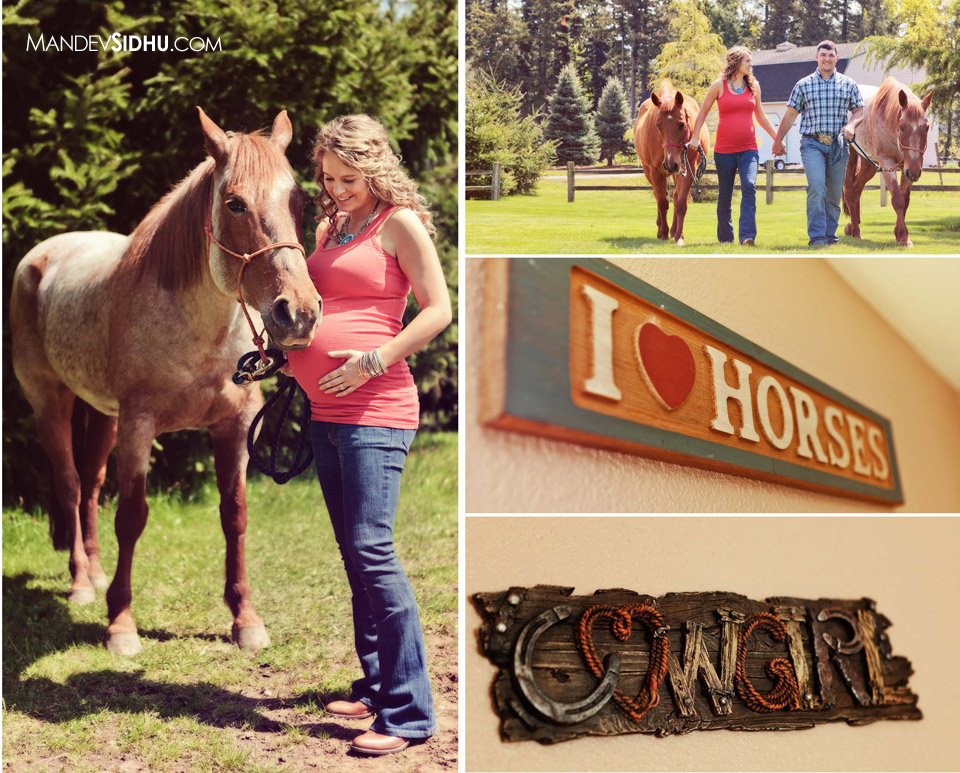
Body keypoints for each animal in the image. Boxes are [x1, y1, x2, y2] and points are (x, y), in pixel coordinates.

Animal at [10, 107, 322, 652]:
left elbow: (235, 514)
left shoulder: (234, 428)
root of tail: (42, 255)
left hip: (102, 414)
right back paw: (81, 585)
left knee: (91, 485)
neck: (199, 333)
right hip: (50, 403)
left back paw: (94, 573)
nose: (299, 314)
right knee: (70, 484)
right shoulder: (139, 428)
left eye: (299, 199)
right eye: (234, 203)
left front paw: (245, 618)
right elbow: (131, 517)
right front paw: (120, 625)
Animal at [632, 82, 708, 244]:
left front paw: (678, 235)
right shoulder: (655, 171)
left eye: (682, 124)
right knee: (658, 196)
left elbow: (680, 203)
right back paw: (660, 229)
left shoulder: (687, 168)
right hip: (650, 171)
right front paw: (664, 233)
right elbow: (662, 202)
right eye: (657, 125)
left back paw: (673, 230)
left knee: (675, 195)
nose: (670, 164)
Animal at [844, 77, 932, 246]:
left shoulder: (907, 168)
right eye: (902, 127)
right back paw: (856, 231)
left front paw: (898, 234)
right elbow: (897, 200)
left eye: (927, 128)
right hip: (849, 158)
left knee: (857, 189)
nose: (915, 172)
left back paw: (852, 226)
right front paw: (904, 237)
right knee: (850, 192)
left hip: (869, 164)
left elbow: (905, 200)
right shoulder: (887, 164)